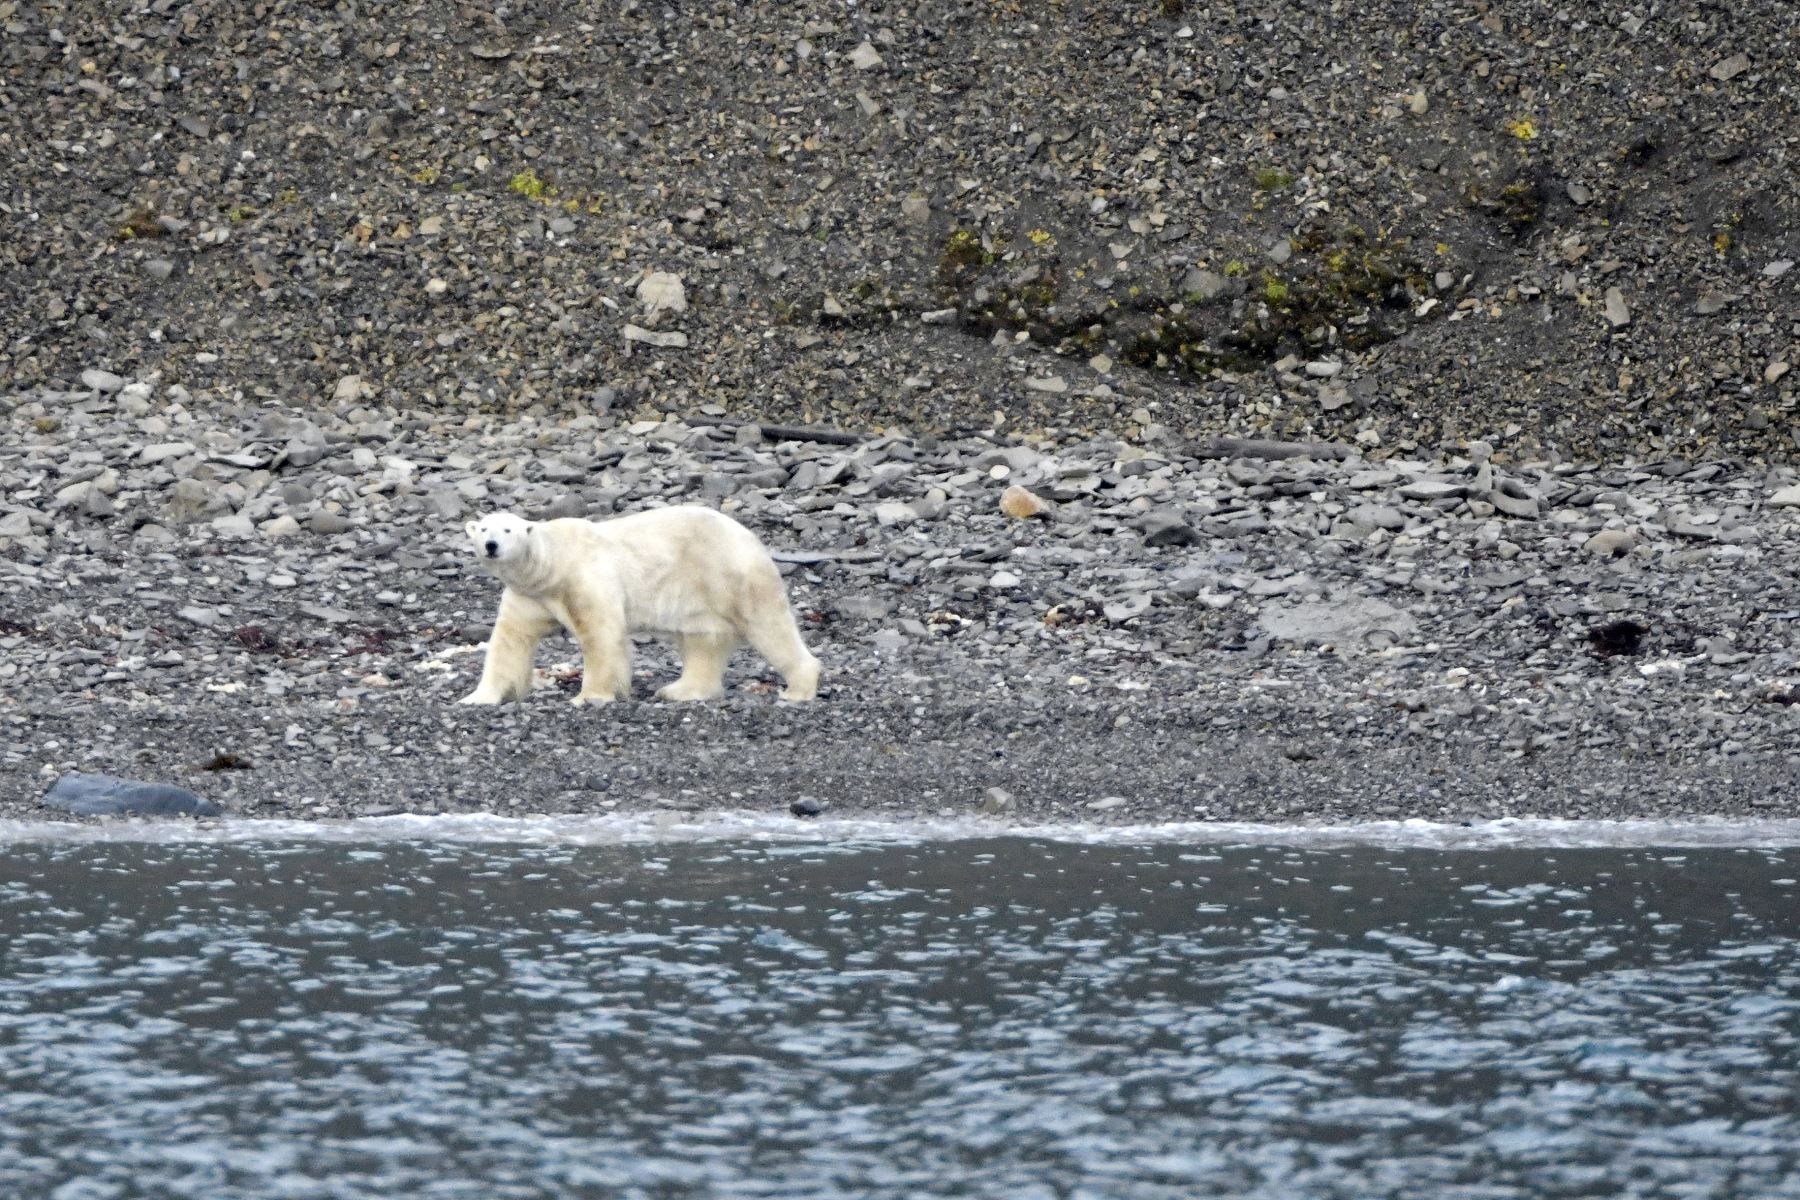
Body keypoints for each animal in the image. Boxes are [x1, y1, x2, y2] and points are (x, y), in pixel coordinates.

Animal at [459, 505, 822, 707]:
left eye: (508, 529)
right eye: (484, 528)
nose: (491, 545)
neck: (552, 567)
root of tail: (751, 536)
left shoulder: (585, 577)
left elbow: (601, 634)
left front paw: (589, 696)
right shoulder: (528, 595)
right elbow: (510, 641)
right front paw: (477, 697)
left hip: (729, 574)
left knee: (768, 624)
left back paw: (798, 689)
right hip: (698, 594)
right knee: (704, 641)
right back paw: (679, 690)